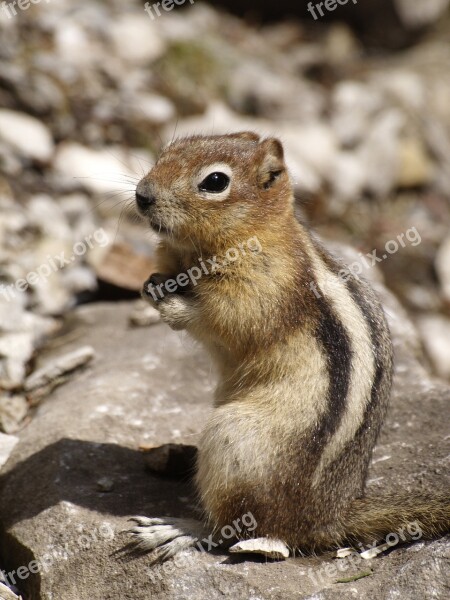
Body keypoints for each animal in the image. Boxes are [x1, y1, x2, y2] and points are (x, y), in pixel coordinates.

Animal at [131, 131, 450, 564]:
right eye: (168, 151)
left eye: (215, 181)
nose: (141, 195)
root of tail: (326, 517)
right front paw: (150, 288)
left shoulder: (262, 289)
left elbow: (224, 318)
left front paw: (175, 307)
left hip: (236, 442)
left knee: (238, 529)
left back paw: (179, 529)